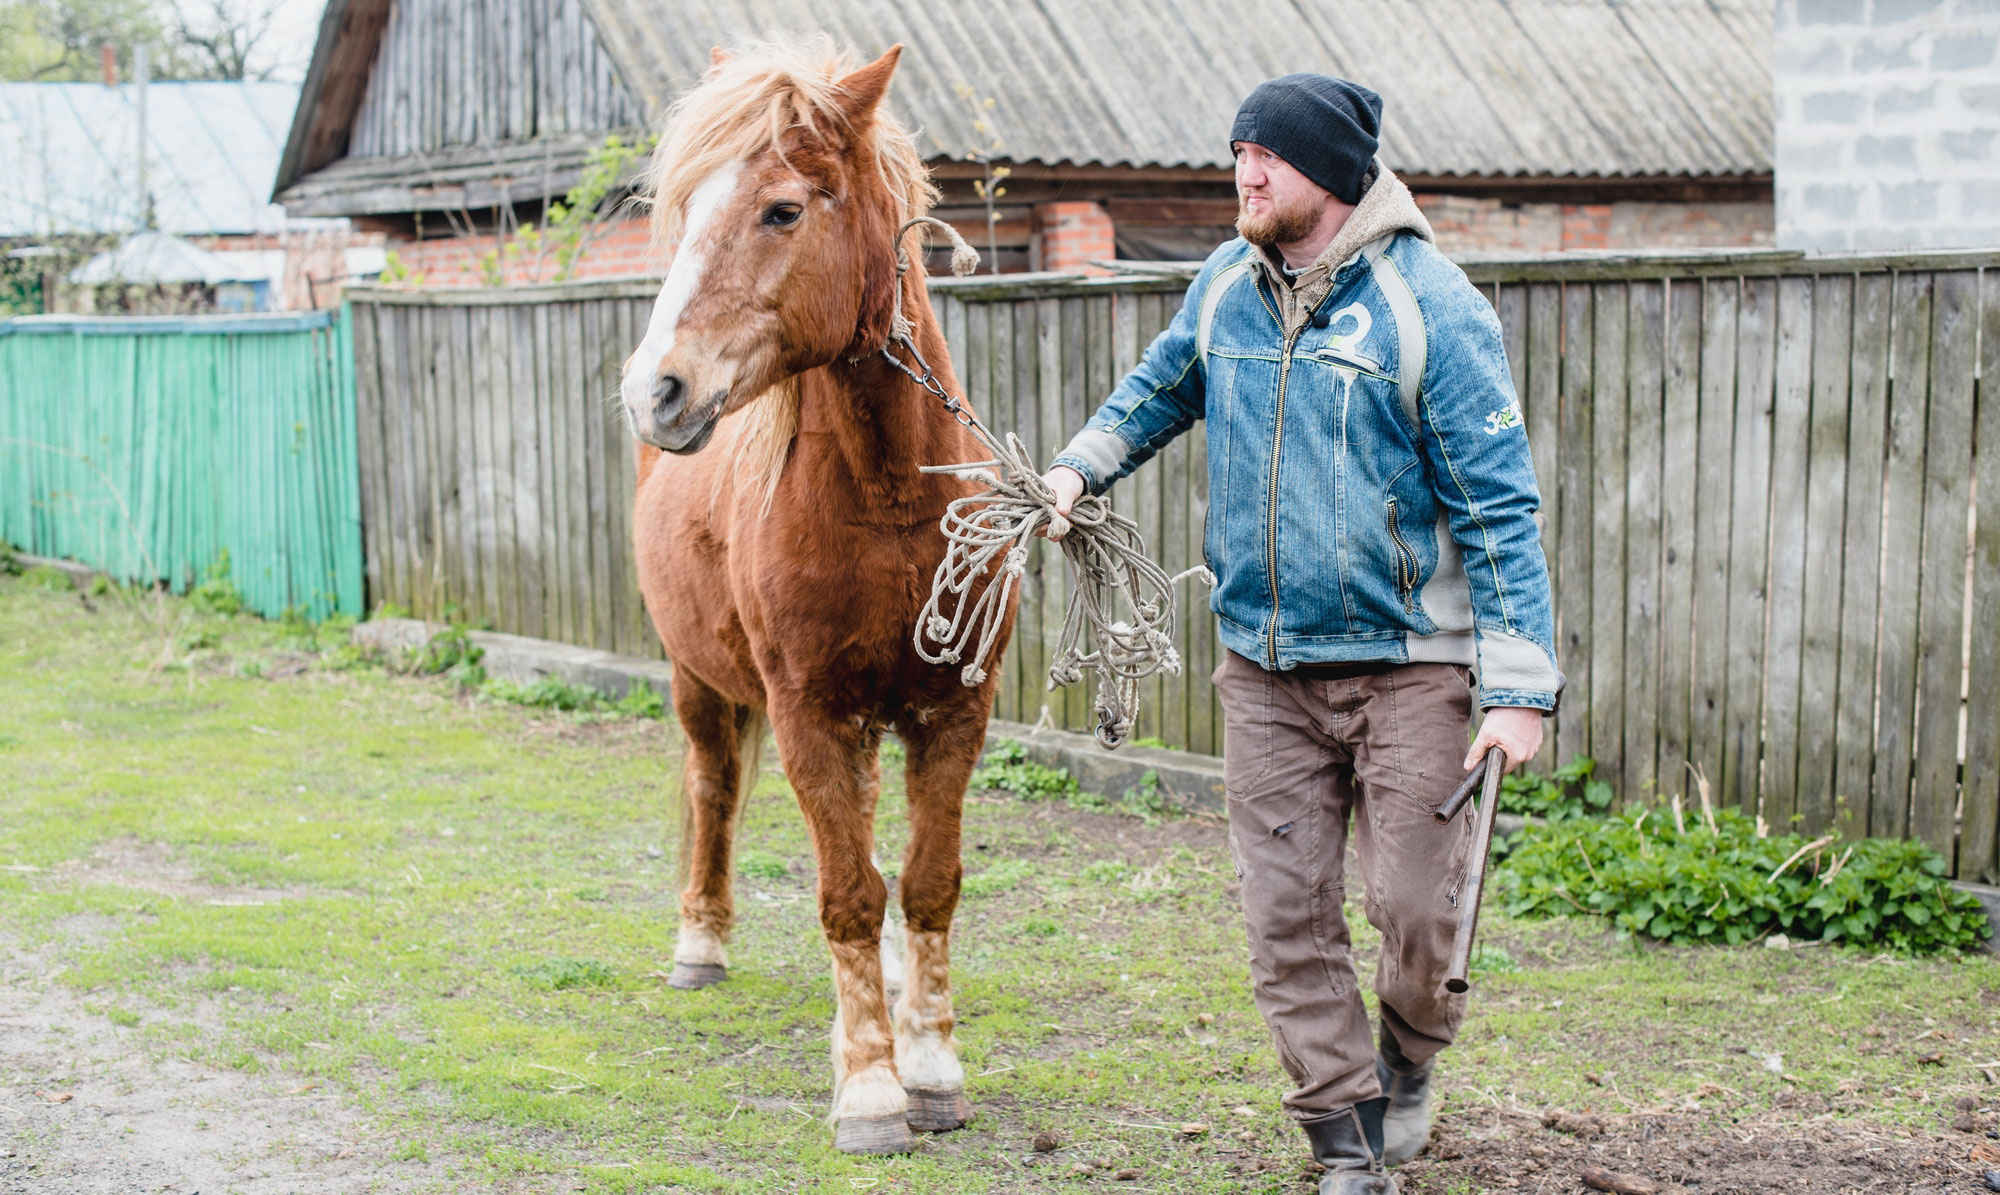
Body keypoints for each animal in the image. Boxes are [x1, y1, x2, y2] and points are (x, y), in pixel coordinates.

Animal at [616, 42, 1016, 1159]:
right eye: (686, 208)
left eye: (782, 209)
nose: (655, 391)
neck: (891, 501)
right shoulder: (804, 713)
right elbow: (844, 893)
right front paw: (872, 1089)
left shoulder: (951, 712)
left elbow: (925, 881)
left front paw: (931, 1065)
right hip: (699, 683)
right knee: (712, 790)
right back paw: (699, 943)